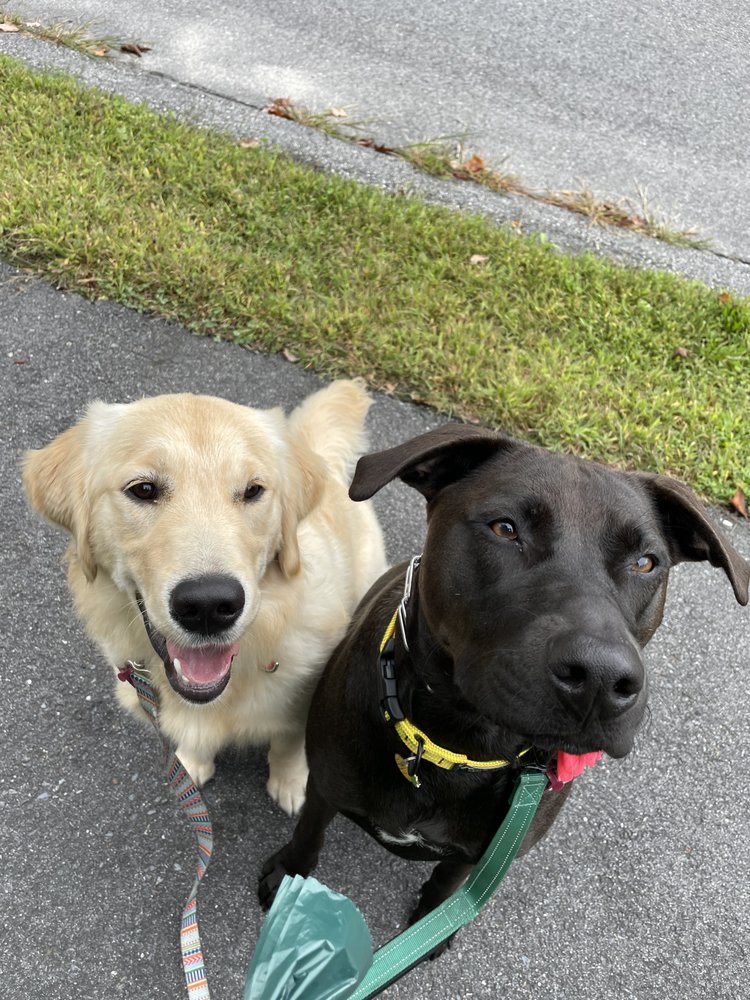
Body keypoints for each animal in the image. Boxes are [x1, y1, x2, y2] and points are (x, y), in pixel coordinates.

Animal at [23, 380, 387, 815]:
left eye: (253, 491)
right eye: (143, 489)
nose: (209, 606)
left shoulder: (308, 699)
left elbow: (289, 743)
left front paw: (290, 782)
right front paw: (193, 763)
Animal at [259, 423, 749, 946]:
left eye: (645, 563)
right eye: (505, 528)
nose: (600, 678)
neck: (456, 745)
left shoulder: (486, 850)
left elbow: (451, 879)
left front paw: (436, 922)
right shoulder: (325, 787)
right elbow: (309, 835)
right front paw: (288, 875)